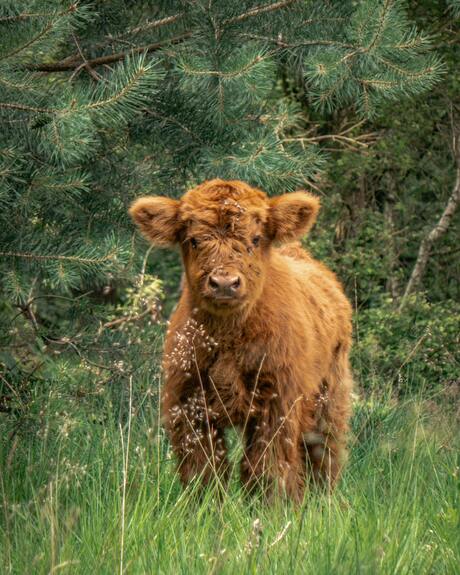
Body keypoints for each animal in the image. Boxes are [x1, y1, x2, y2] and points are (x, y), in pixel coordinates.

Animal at [131, 178, 354, 502]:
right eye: (193, 240)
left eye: (256, 239)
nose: (224, 283)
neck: (227, 337)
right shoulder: (188, 405)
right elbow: (204, 469)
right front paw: (205, 509)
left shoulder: (278, 404)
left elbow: (269, 467)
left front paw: (273, 507)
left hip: (330, 393)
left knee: (324, 452)